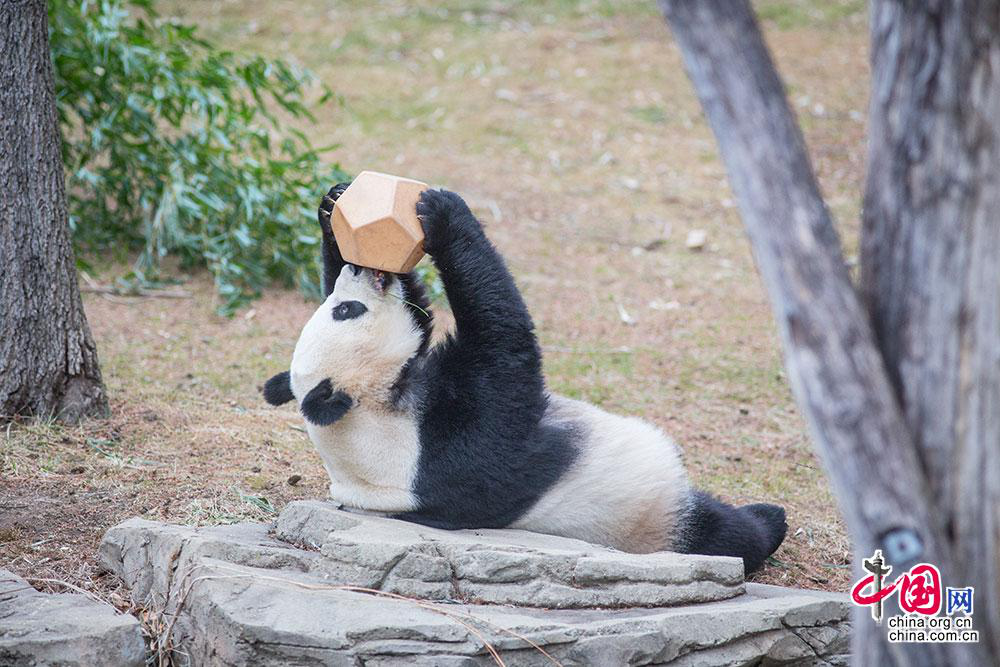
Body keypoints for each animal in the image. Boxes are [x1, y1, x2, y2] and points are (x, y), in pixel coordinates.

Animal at [264, 183, 788, 576]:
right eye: (347, 310)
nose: (359, 271)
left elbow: (422, 317)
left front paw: (335, 209)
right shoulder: (441, 444)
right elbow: (506, 343)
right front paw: (443, 213)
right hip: (648, 512)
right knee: (719, 530)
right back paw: (769, 520)